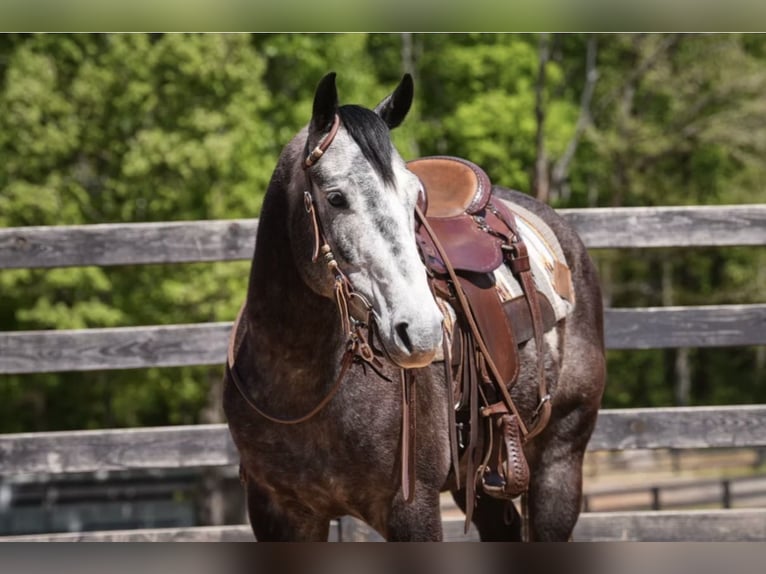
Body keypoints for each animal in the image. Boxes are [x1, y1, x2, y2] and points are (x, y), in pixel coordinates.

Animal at [223, 72, 606, 541]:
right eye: (335, 198)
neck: (302, 386)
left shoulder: (412, 507)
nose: (421, 331)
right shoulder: (276, 511)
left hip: (559, 459)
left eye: (414, 200)